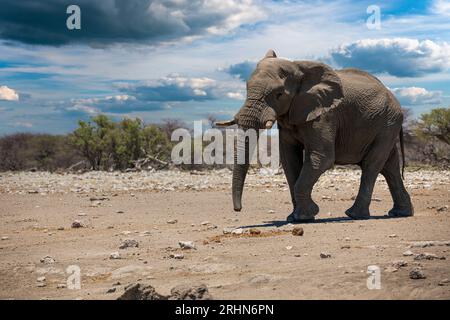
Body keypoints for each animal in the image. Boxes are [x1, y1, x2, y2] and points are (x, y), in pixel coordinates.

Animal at [216, 49, 414, 222]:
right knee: (389, 167)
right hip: (386, 124)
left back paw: (354, 215)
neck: (298, 68)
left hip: (387, 123)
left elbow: (321, 157)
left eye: (279, 94)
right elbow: (289, 160)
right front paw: (295, 217)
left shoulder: (324, 115)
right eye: (247, 88)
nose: (238, 209)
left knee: (371, 165)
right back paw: (400, 213)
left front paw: (305, 216)